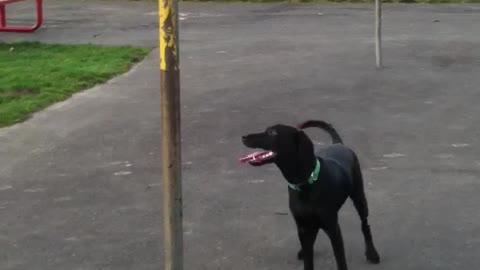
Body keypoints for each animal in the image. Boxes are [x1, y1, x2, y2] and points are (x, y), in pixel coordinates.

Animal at [242, 121, 380, 270]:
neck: (307, 183)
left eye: (273, 132)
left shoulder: (333, 228)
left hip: (359, 198)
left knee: (365, 225)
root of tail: (338, 143)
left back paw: (372, 253)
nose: (243, 137)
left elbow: (340, 260)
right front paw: (305, 253)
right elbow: (308, 259)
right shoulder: (302, 226)